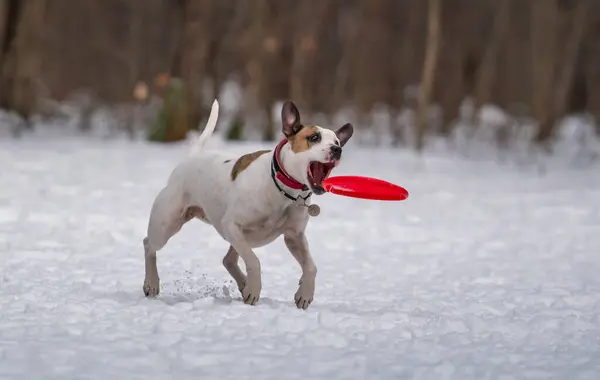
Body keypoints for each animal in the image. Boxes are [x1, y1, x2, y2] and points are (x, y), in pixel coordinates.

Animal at [143, 100, 354, 308]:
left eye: (336, 142)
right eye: (314, 137)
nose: (337, 149)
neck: (283, 189)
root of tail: (190, 159)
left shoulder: (294, 237)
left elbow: (311, 266)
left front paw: (305, 293)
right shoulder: (232, 225)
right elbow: (254, 260)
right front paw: (253, 289)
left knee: (228, 260)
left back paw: (243, 282)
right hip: (166, 225)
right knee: (149, 245)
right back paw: (151, 283)